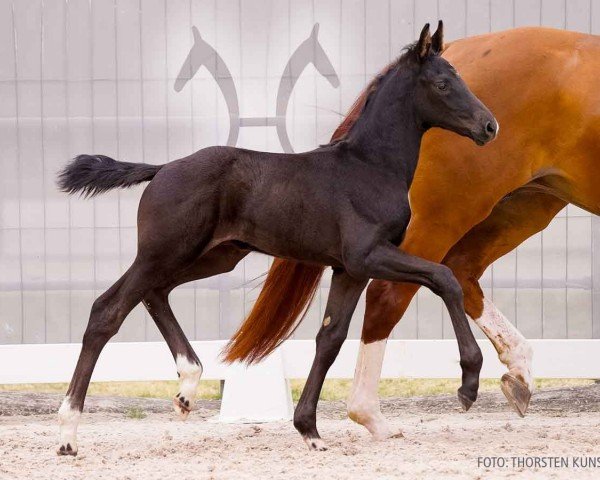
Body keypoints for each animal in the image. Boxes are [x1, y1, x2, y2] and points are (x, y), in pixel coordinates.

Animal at [56, 19, 496, 454]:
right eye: (442, 83)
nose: (489, 126)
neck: (369, 166)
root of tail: (161, 169)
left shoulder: (348, 270)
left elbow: (330, 338)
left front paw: (309, 429)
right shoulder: (367, 255)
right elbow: (444, 278)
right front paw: (469, 384)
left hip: (213, 256)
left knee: (155, 293)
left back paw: (187, 388)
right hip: (163, 252)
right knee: (107, 311)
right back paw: (67, 434)